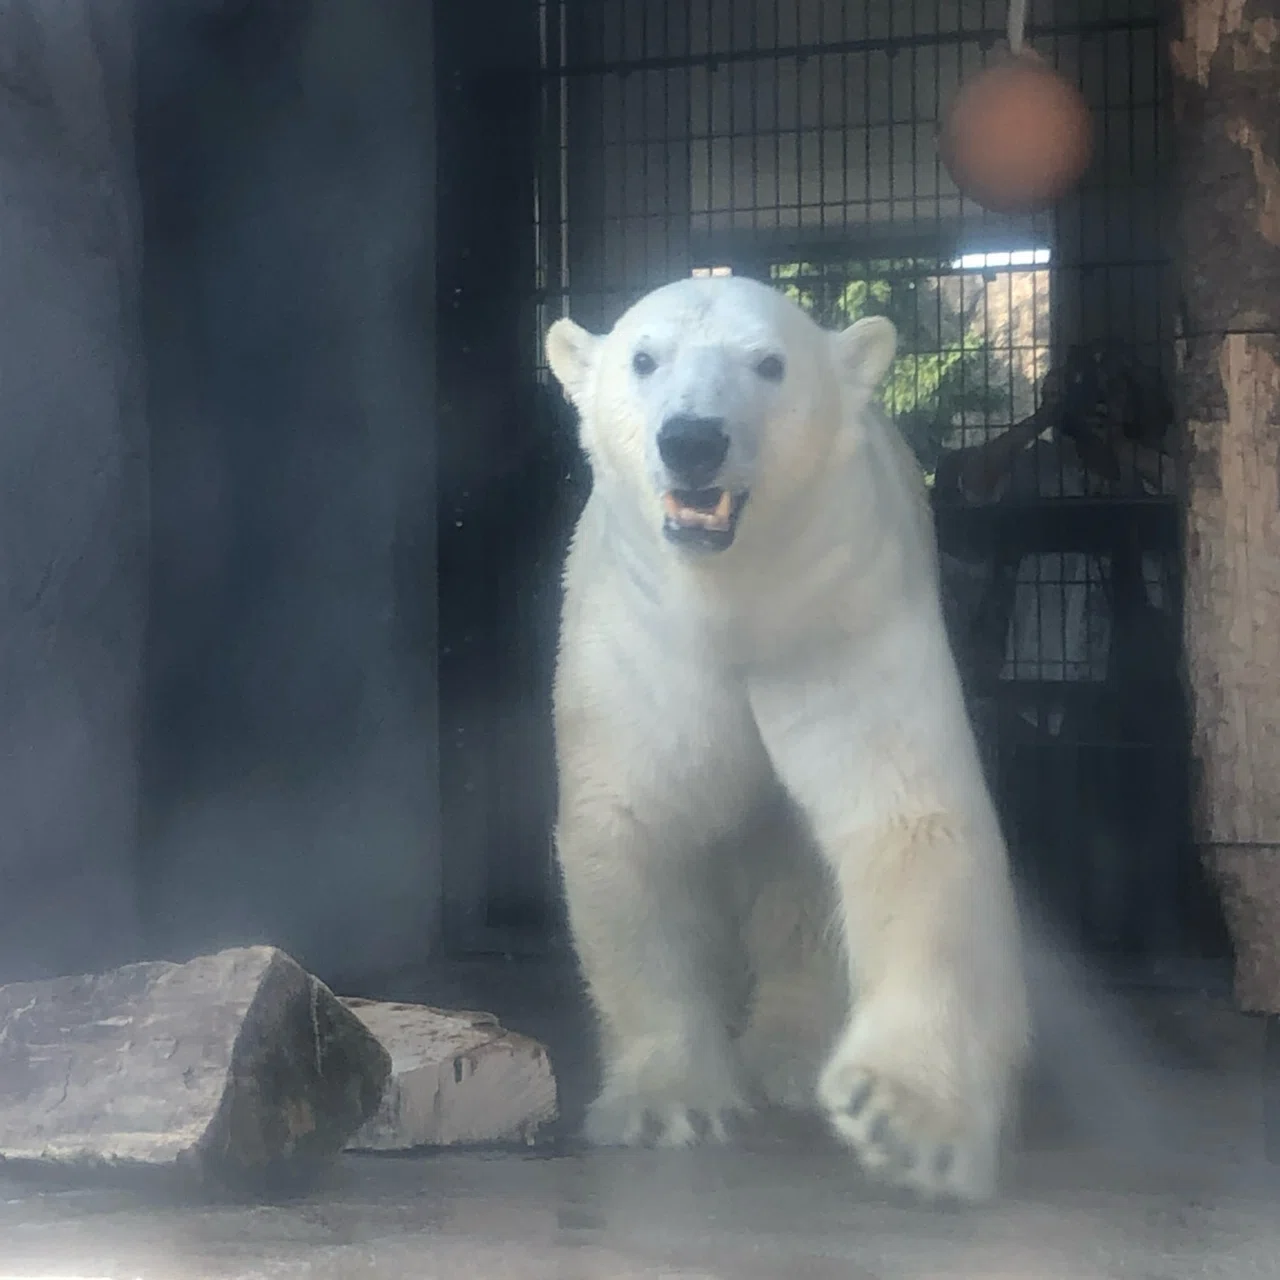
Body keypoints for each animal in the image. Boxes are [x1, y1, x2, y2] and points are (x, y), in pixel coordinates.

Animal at [543, 274, 1029, 1204]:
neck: (735, 601)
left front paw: (903, 1118)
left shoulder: (841, 620)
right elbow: (633, 830)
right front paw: (669, 1102)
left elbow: (905, 822)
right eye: (643, 358)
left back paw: (790, 1058)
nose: (693, 439)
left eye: (768, 363)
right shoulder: (640, 649)